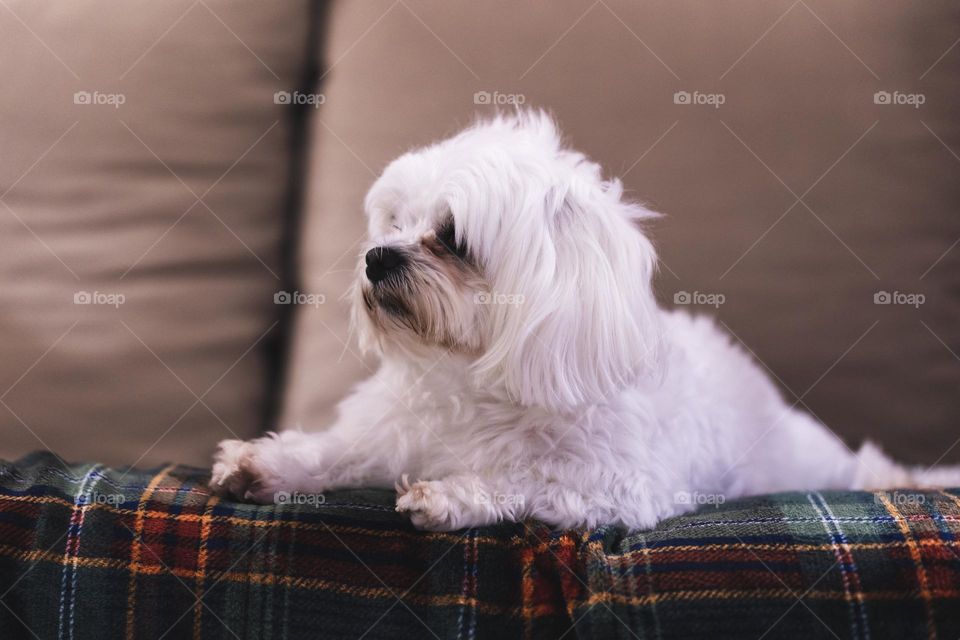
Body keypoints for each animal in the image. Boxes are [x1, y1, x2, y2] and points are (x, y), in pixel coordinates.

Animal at [212, 110, 960, 528]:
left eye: (451, 237)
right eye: (394, 222)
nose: (374, 257)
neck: (473, 383)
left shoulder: (616, 487)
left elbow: (526, 478)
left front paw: (452, 495)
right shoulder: (392, 428)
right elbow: (339, 448)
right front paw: (263, 463)